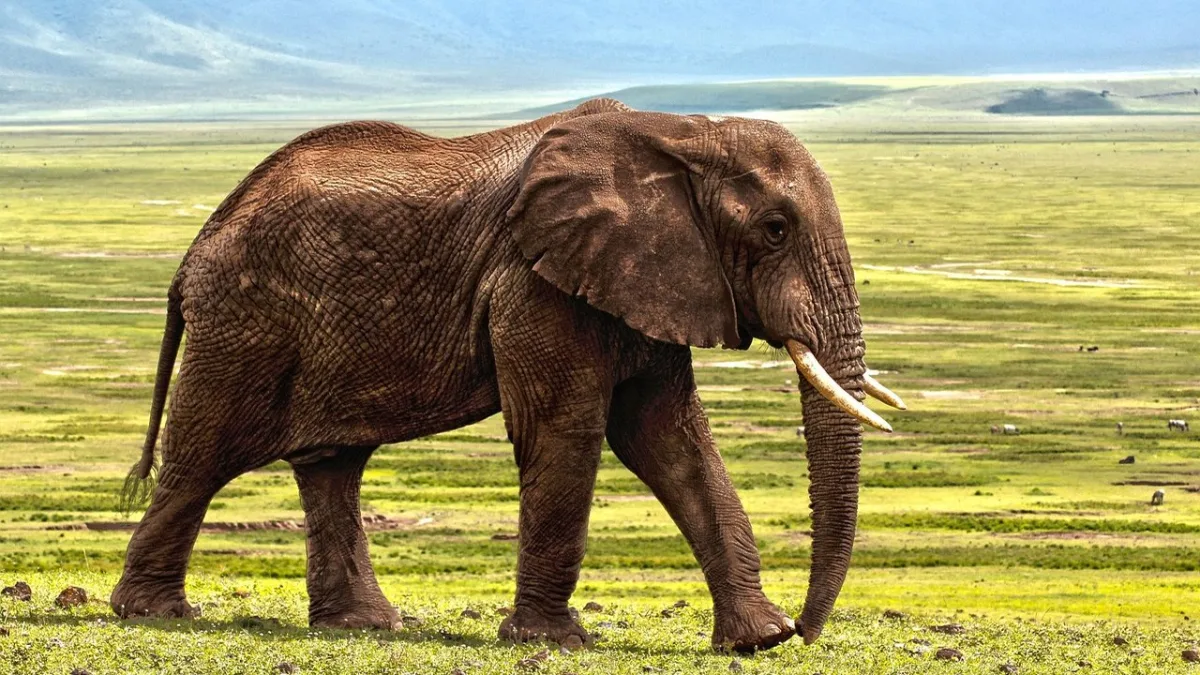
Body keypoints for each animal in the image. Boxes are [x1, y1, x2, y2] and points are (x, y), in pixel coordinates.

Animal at [110, 98, 905, 652]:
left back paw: (363, 627)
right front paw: (556, 642)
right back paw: (154, 614)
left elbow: (670, 440)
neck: (680, 131)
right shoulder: (533, 281)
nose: (807, 630)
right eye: (775, 230)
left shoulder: (647, 279)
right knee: (203, 455)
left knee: (331, 463)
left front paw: (756, 641)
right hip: (244, 320)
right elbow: (567, 430)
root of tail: (195, 248)